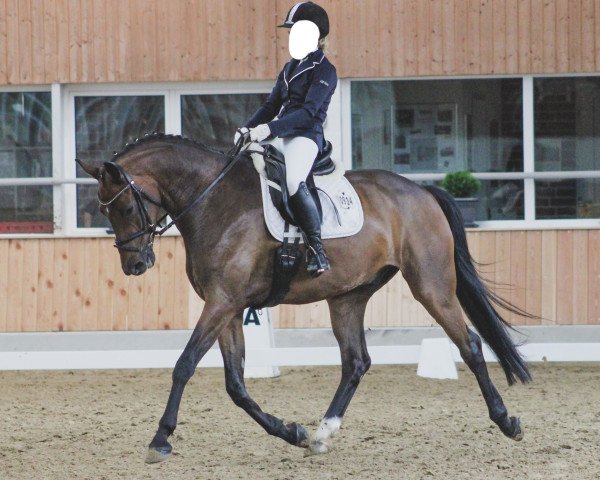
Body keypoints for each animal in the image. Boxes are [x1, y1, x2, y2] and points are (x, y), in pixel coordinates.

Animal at [77, 133, 532, 464]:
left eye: (124, 208)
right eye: (106, 212)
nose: (135, 265)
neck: (213, 202)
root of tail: (422, 192)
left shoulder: (222, 303)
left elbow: (184, 365)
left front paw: (160, 439)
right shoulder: (229, 308)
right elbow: (236, 384)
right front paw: (291, 432)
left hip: (431, 286)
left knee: (470, 344)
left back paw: (507, 422)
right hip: (347, 297)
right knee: (356, 362)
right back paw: (321, 434)